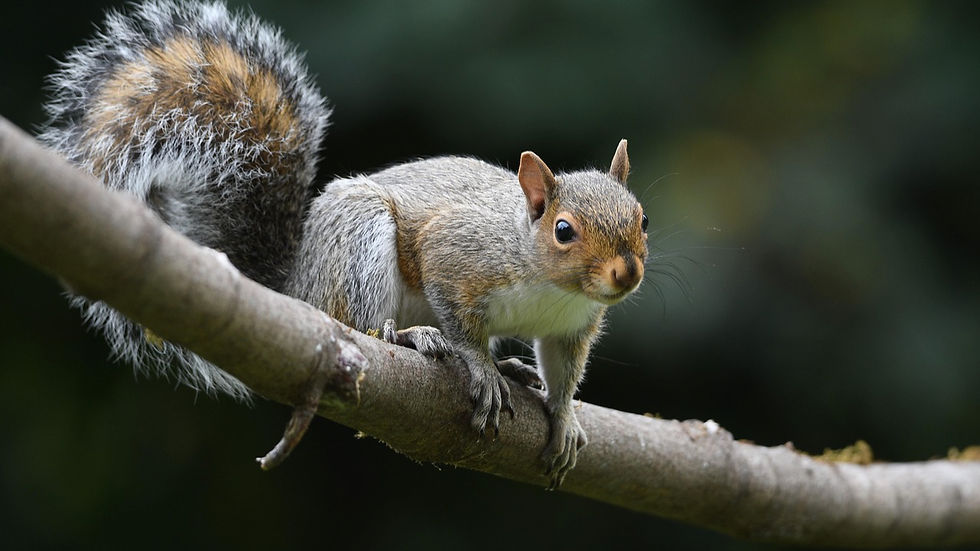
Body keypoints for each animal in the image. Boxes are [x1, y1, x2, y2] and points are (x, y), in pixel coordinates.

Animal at [38, 0, 648, 487]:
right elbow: (455, 307)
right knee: (362, 324)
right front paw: (478, 365)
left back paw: (513, 368)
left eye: (641, 218)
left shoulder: (573, 326)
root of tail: (296, 289)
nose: (627, 273)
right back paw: (413, 336)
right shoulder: (459, 252)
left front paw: (564, 416)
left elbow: (565, 369)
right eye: (563, 230)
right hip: (360, 241)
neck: (551, 285)